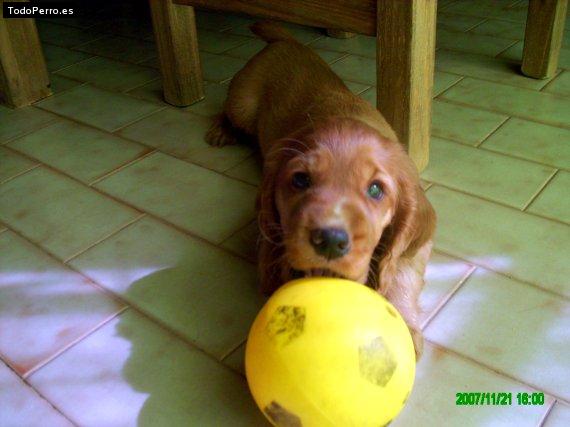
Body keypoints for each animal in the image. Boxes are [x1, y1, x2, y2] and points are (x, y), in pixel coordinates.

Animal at [206, 22, 432, 358]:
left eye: (376, 190)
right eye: (300, 180)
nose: (330, 242)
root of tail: (287, 41)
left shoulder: (419, 239)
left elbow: (403, 269)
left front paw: (404, 322)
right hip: (242, 103)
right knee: (227, 109)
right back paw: (221, 130)